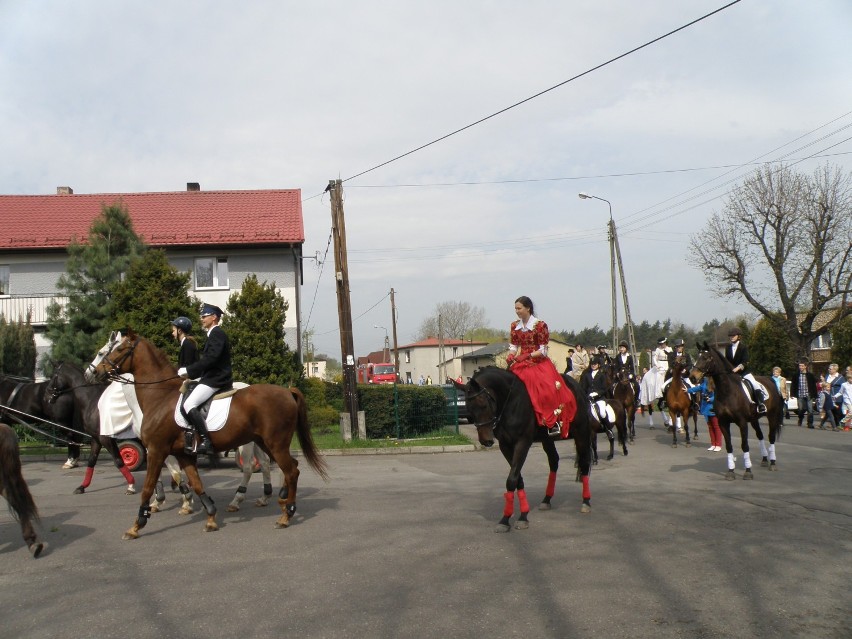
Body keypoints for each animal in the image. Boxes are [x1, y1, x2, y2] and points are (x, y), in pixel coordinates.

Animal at [86, 330, 326, 540]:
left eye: (116, 349)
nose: (94, 372)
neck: (160, 398)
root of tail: (287, 391)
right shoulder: (182, 454)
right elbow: (195, 483)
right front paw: (210, 517)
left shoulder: (156, 450)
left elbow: (148, 487)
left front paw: (137, 525)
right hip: (266, 443)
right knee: (285, 467)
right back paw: (280, 501)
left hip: (273, 443)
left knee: (287, 470)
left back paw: (286, 514)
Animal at [452, 368, 592, 532]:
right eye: (469, 408)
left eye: (483, 405)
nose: (486, 440)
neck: (511, 401)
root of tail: (577, 386)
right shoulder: (505, 446)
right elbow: (517, 478)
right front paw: (512, 517)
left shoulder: (522, 443)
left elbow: (512, 478)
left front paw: (518, 517)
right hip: (547, 439)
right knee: (554, 461)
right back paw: (547, 499)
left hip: (581, 433)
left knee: (584, 463)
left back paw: (586, 502)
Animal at [688, 342, 784, 478]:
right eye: (697, 356)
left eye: (706, 358)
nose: (692, 377)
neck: (727, 391)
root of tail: (770, 380)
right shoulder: (723, 423)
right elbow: (729, 446)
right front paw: (731, 471)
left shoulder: (742, 423)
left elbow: (745, 446)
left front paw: (748, 471)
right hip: (754, 419)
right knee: (760, 436)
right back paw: (765, 459)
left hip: (772, 416)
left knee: (771, 437)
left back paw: (773, 463)